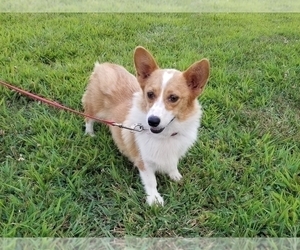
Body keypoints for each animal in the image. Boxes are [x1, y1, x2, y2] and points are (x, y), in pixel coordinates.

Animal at [81, 46, 210, 205]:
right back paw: (90, 133)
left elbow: (173, 165)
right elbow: (151, 181)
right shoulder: (144, 162)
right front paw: (154, 200)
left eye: (173, 98)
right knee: (88, 117)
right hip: (94, 109)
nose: (152, 121)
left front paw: (175, 176)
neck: (164, 136)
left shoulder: (174, 155)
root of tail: (103, 66)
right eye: (150, 94)